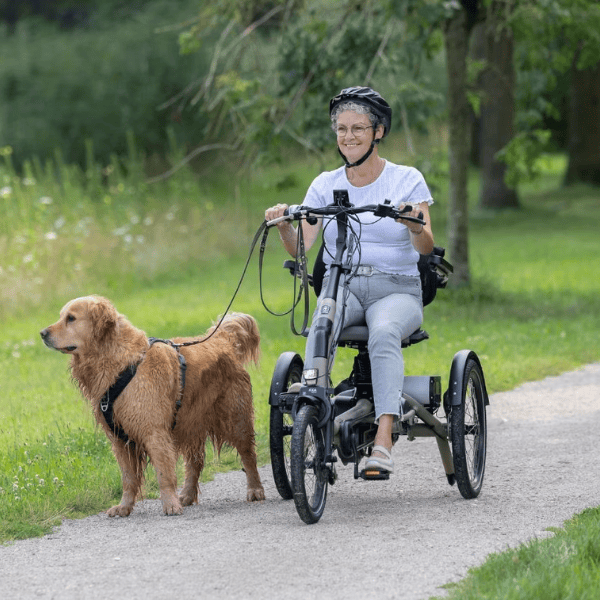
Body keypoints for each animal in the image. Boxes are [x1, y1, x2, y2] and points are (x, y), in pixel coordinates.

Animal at [42, 296, 264, 516]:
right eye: (61, 316)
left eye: (71, 318)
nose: (42, 333)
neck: (120, 365)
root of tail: (222, 340)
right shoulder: (119, 439)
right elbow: (128, 479)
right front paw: (124, 506)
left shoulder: (154, 432)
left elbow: (164, 474)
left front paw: (170, 504)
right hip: (190, 423)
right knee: (195, 462)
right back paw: (187, 495)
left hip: (235, 418)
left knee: (248, 455)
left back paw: (255, 489)